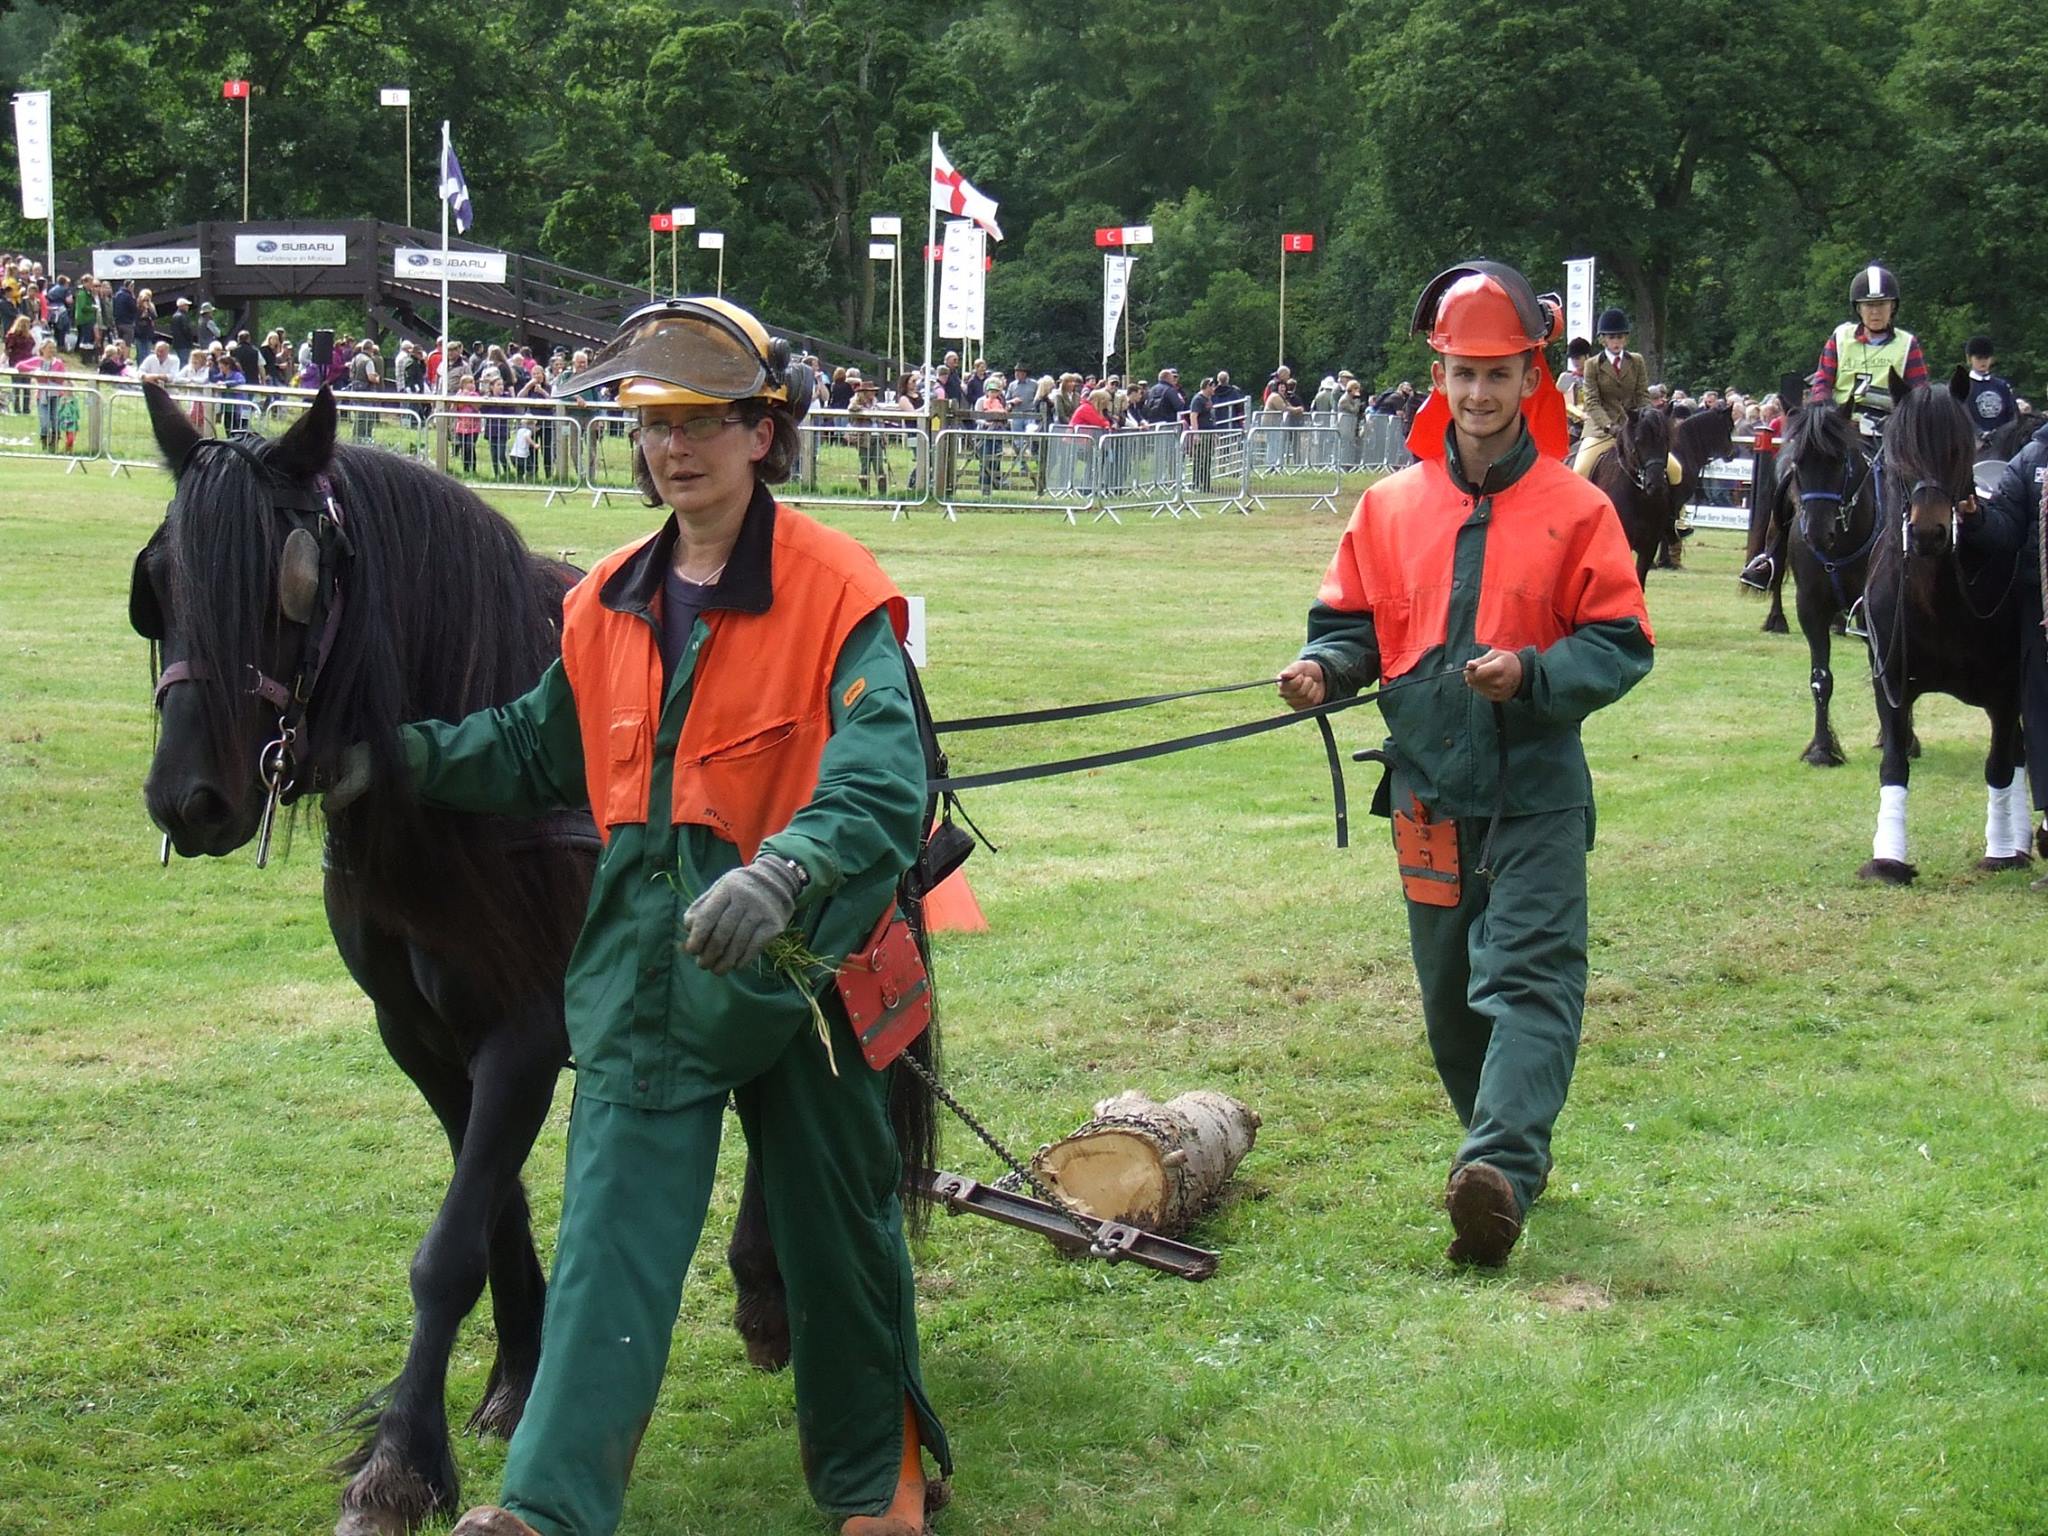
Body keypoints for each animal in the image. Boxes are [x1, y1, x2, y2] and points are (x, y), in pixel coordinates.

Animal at [1859, 376, 2031, 884]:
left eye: (1957, 447)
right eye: (1897, 449)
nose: (1929, 533)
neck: (1936, 600)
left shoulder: (2005, 692)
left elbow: (2000, 766)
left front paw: (2000, 852)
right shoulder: (1891, 685)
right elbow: (1894, 764)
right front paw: (1888, 859)